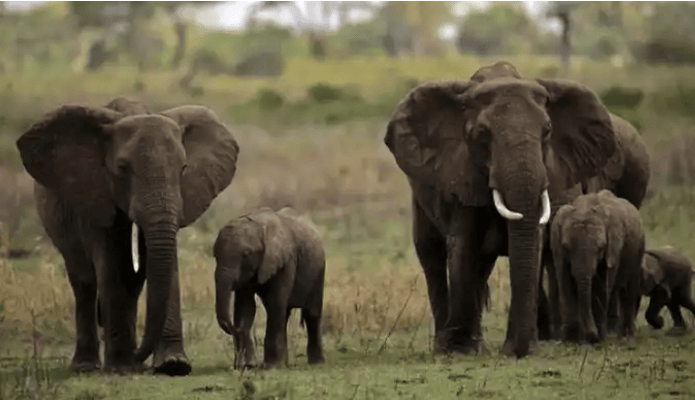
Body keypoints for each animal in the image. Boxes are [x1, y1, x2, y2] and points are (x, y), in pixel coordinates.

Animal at [15, 98, 239, 376]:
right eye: (122, 168)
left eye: (183, 168)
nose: (138, 357)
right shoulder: (96, 195)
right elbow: (112, 266)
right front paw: (121, 367)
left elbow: (166, 262)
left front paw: (173, 365)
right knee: (84, 281)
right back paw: (87, 366)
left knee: (131, 284)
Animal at [214, 207, 326, 369]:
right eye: (215, 255)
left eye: (246, 254)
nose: (232, 328)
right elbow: (245, 305)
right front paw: (247, 366)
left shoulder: (286, 260)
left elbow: (275, 302)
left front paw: (270, 367)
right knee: (285, 314)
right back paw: (285, 363)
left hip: (319, 270)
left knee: (311, 314)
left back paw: (316, 363)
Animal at [550, 190, 645, 343]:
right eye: (566, 247)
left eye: (601, 248)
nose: (592, 336)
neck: (584, 208)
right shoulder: (557, 250)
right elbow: (565, 282)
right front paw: (572, 339)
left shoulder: (613, 246)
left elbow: (602, 285)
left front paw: (597, 338)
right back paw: (619, 335)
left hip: (639, 249)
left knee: (629, 292)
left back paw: (628, 338)